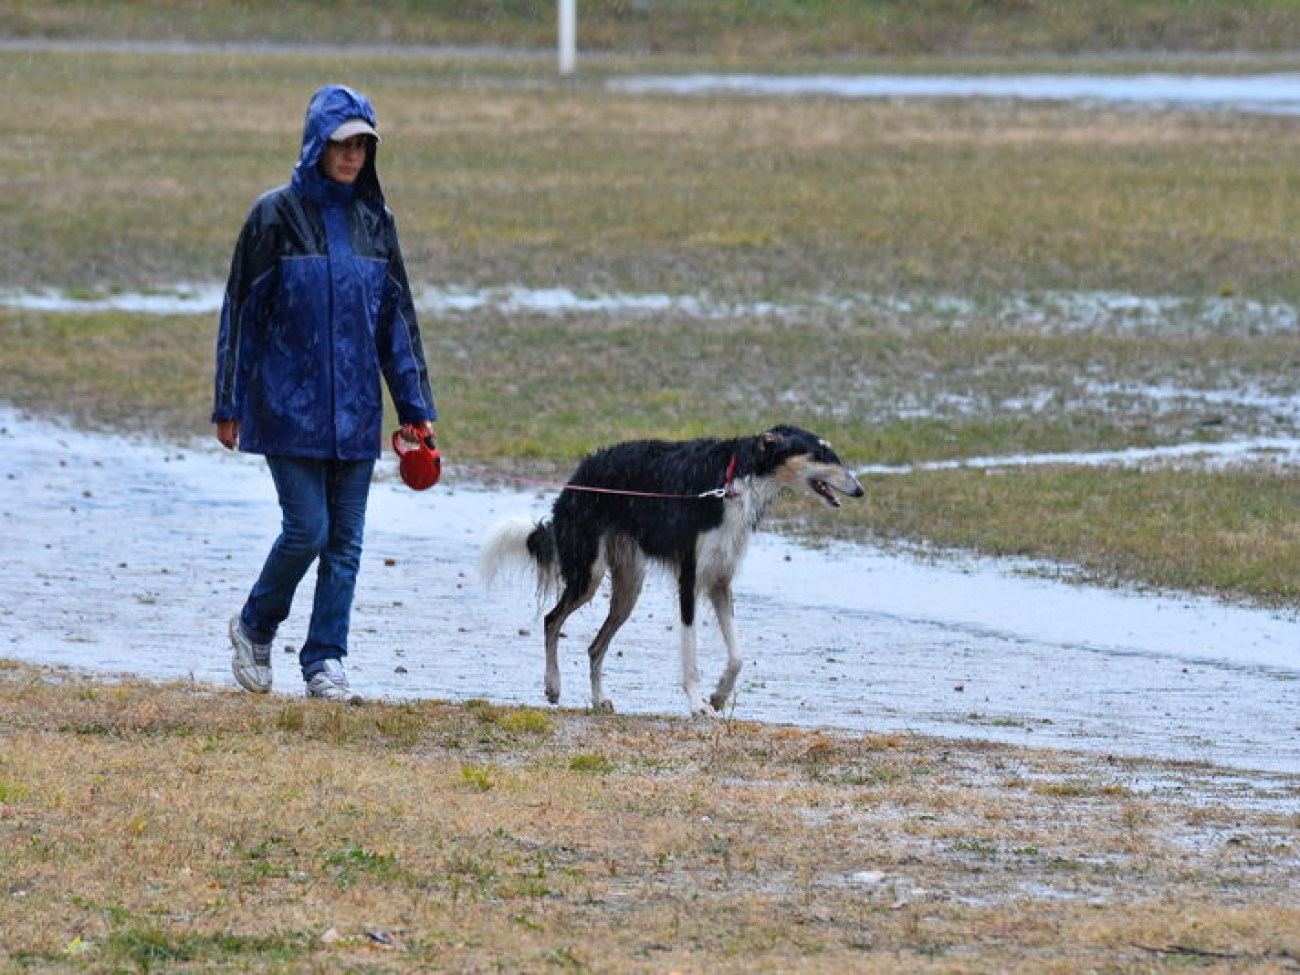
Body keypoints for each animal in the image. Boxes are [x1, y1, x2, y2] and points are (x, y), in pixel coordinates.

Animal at [478, 426, 863, 717]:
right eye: (821, 455)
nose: (859, 490)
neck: (734, 481)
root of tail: (576, 478)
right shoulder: (689, 579)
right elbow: (690, 657)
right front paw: (698, 705)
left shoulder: (720, 581)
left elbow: (738, 657)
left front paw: (719, 696)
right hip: (590, 573)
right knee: (551, 620)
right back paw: (553, 686)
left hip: (629, 587)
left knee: (594, 646)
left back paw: (599, 700)